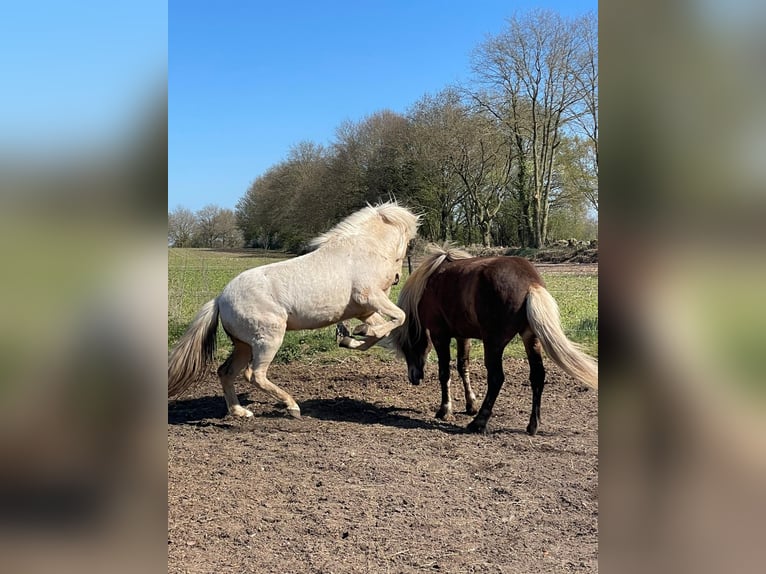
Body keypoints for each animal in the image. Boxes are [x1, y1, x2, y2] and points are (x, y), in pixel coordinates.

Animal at [168, 201, 420, 419]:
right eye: (408, 242)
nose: (397, 278)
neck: (361, 251)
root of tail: (220, 298)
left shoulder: (364, 310)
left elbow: (382, 331)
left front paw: (353, 338)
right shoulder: (370, 297)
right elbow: (399, 317)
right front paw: (360, 334)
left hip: (243, 346)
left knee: (226, 372)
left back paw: (241, 412)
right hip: (268, 340)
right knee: (255, 375)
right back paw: (292, 406)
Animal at [386, 244, 598, 434]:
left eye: (405, 346)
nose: (414, 378)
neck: (429, 283)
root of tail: (530, 283)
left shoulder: (440, 335)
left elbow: (444, 372)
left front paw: (445, 410)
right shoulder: (463, 336)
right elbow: (463, 367)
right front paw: (470, 404)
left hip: (493, 343)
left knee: (496, 378)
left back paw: (479, 422)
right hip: (531, 338)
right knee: (537, 375)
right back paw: (532, 425)